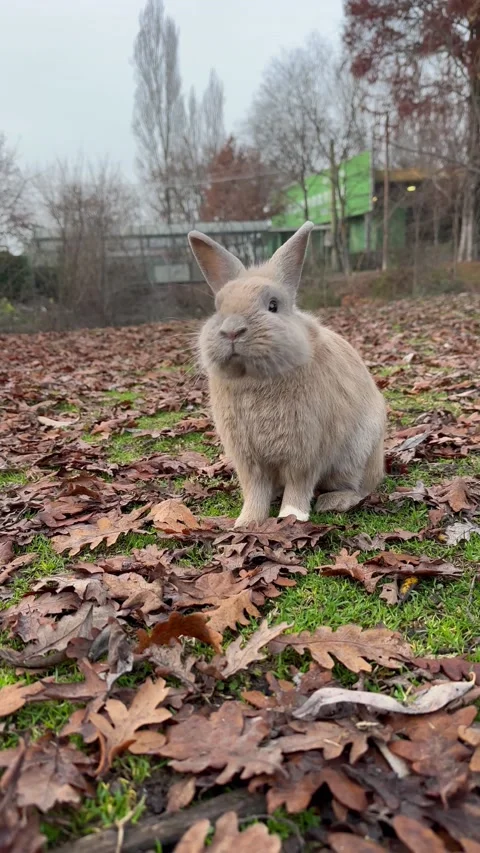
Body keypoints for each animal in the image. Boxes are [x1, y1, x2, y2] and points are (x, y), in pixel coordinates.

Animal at [189, 221, 386, 529]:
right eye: (218, 307)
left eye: (273, 305)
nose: (232, 330)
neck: (255, 378)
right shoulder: (248, 459)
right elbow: (255, 489)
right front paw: (246, 522)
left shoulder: (306, 452)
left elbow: (299, 484)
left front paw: (292, 516)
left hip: (356, 457)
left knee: (360, 488)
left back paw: (335, 501)